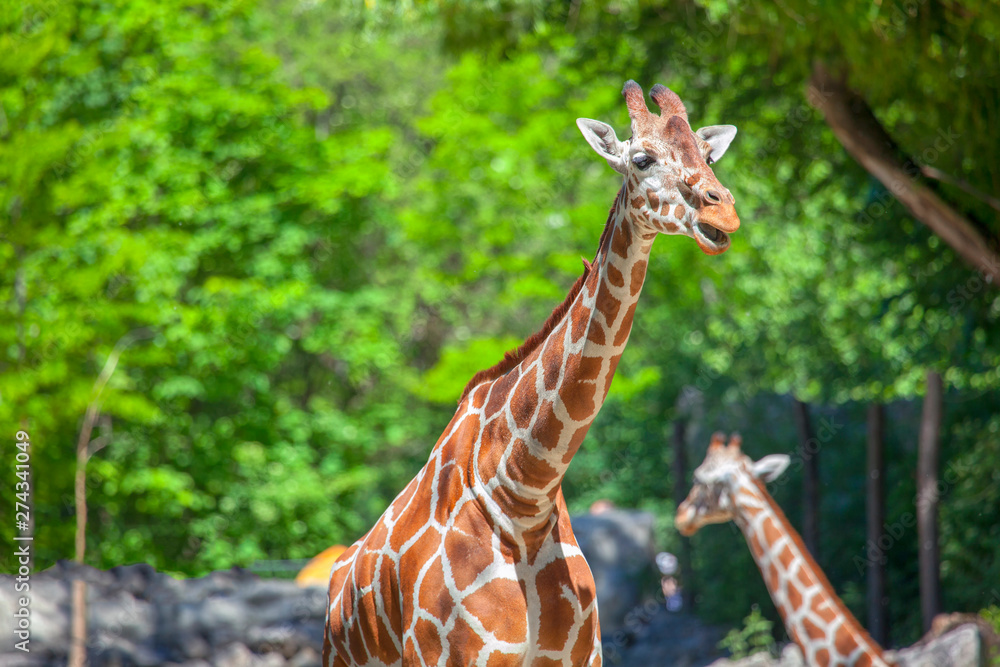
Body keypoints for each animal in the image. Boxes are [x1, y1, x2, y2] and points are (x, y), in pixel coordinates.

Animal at [323, 80, 741, 667]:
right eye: (640, 159)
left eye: (708, 155)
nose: (724, 215)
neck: (522, 493)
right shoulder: (459, 659)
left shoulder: (582, 656)